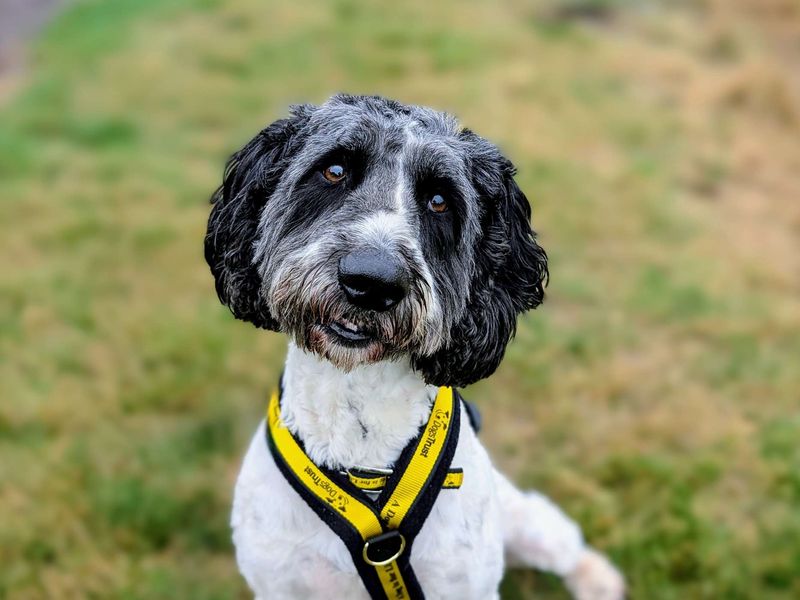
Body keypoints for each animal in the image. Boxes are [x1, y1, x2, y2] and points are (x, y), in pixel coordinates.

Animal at [205, 95, 624, 600]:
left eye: (439, 201)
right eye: (334, 170)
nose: (371, 280)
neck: (363, 452)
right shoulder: (278, 581)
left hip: (523, 521)